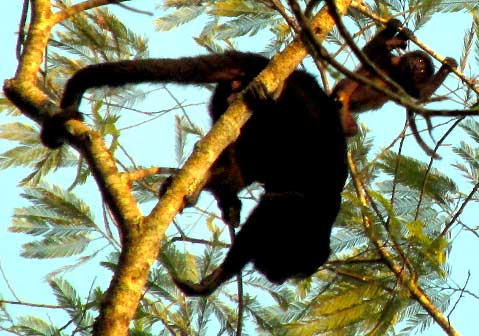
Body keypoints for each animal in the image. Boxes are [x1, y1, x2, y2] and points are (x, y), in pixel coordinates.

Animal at [42, 19, 458, 296]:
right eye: (286, 265)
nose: (276, 279)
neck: (315, 221)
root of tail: (265, 67)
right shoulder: (291, 209)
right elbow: (267, 212)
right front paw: (211, 282)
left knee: (238, 163)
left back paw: (208, 187)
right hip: (282, 106)